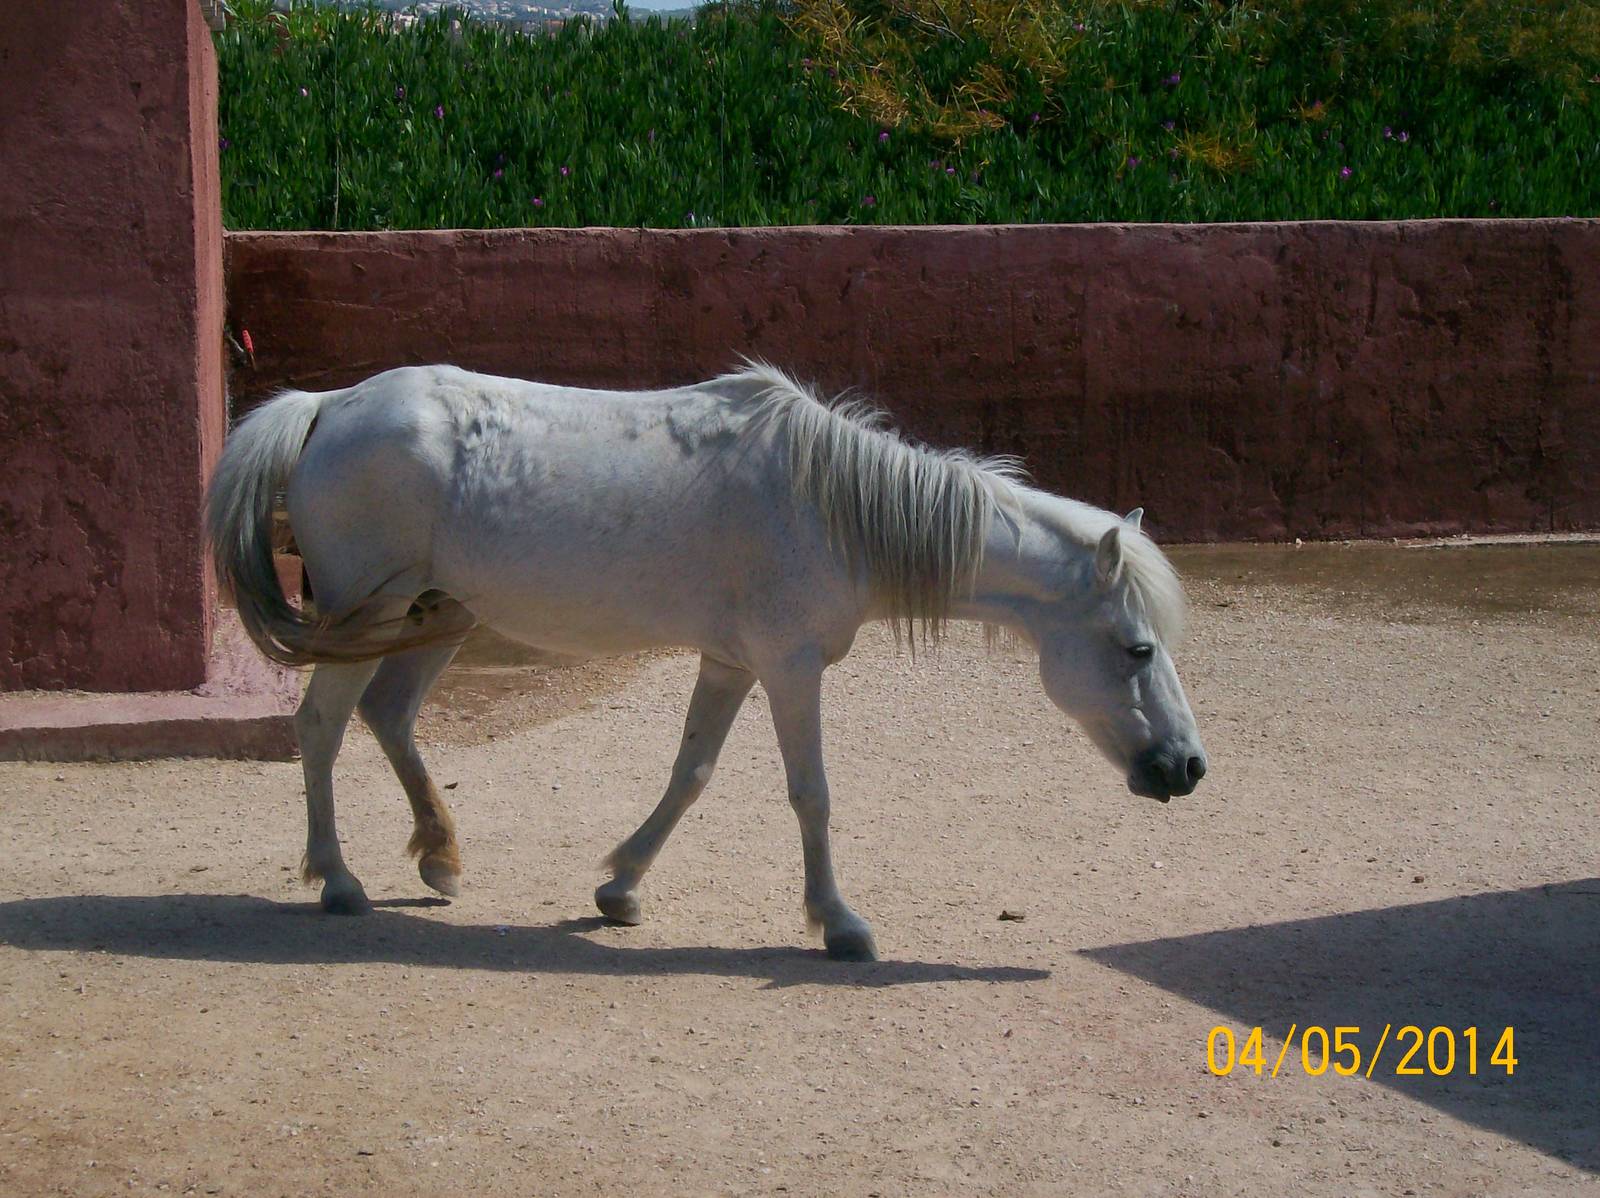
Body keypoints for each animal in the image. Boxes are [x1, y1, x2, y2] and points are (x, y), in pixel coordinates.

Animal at [205, 362, 1207, 961]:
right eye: (1138, 647)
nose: (1187, 768)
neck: (830, 506)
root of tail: (327, 407)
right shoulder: (791, 666)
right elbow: (811, 794)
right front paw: (839, 924)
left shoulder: (731, 664)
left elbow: (689, 775)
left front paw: (619, 889)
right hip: (370, 616)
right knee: (320, 725)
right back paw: (338, 880)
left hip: (438, 616)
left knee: (389, 719)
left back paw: (441, 859)